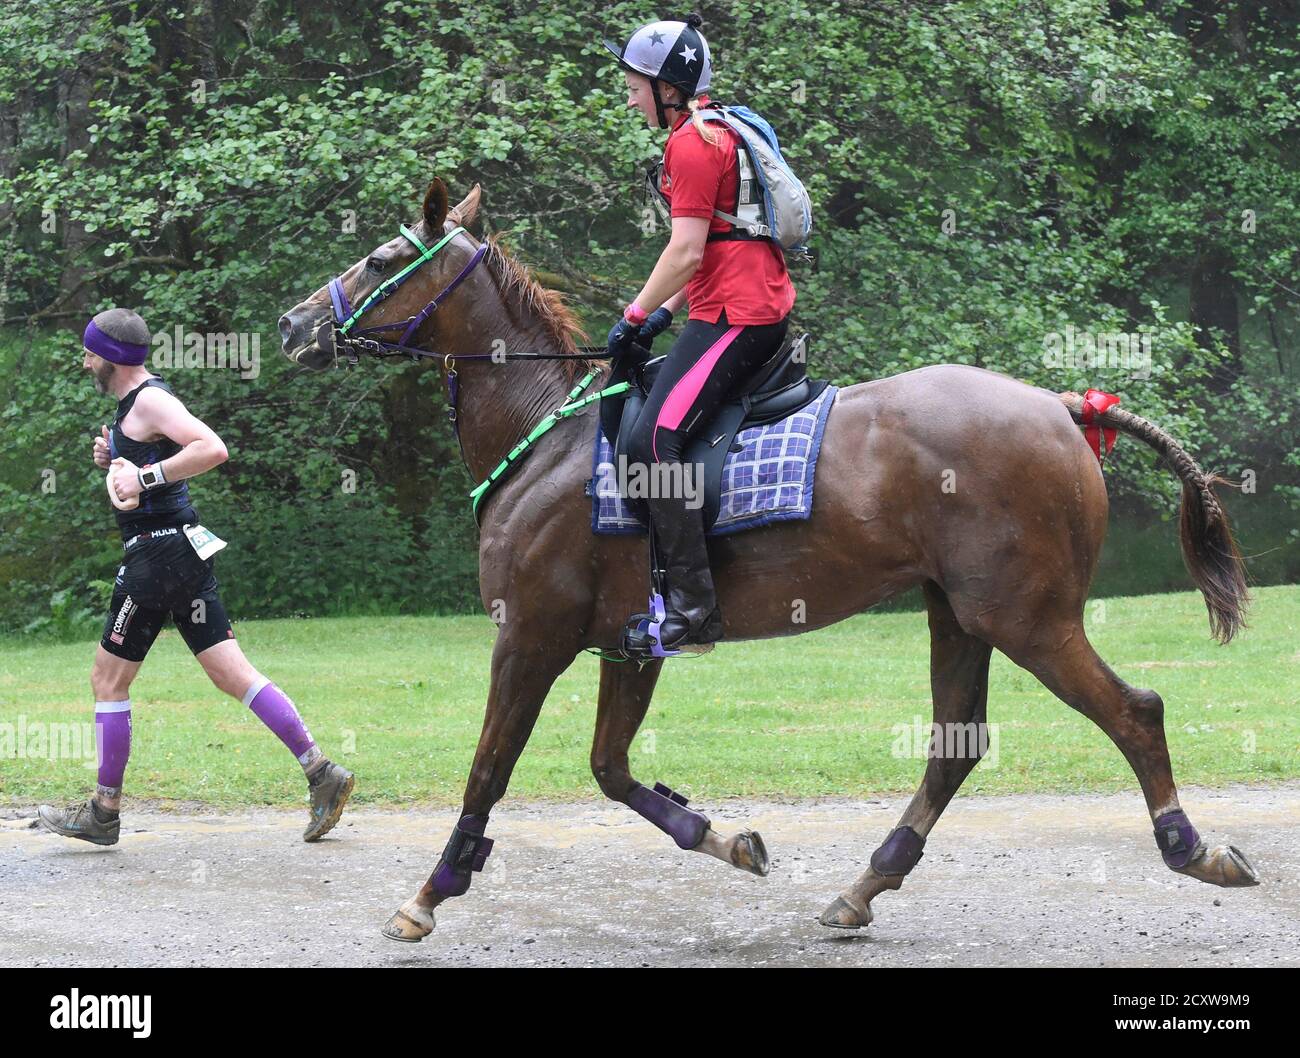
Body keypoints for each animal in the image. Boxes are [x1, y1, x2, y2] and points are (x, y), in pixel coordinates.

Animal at [278, 177, 1256, 942]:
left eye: (377, 258)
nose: (292, 324)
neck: (547, 433)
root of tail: (1059, 406)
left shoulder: (529, 640)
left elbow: (489, 769)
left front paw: (430, 892)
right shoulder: (632, 645)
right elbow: (612, 769)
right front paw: (727, 840)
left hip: (1029, 618)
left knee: (1135, 712)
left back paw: (1192, 847)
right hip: (960, 613)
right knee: (955, 748)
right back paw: (865, 886)